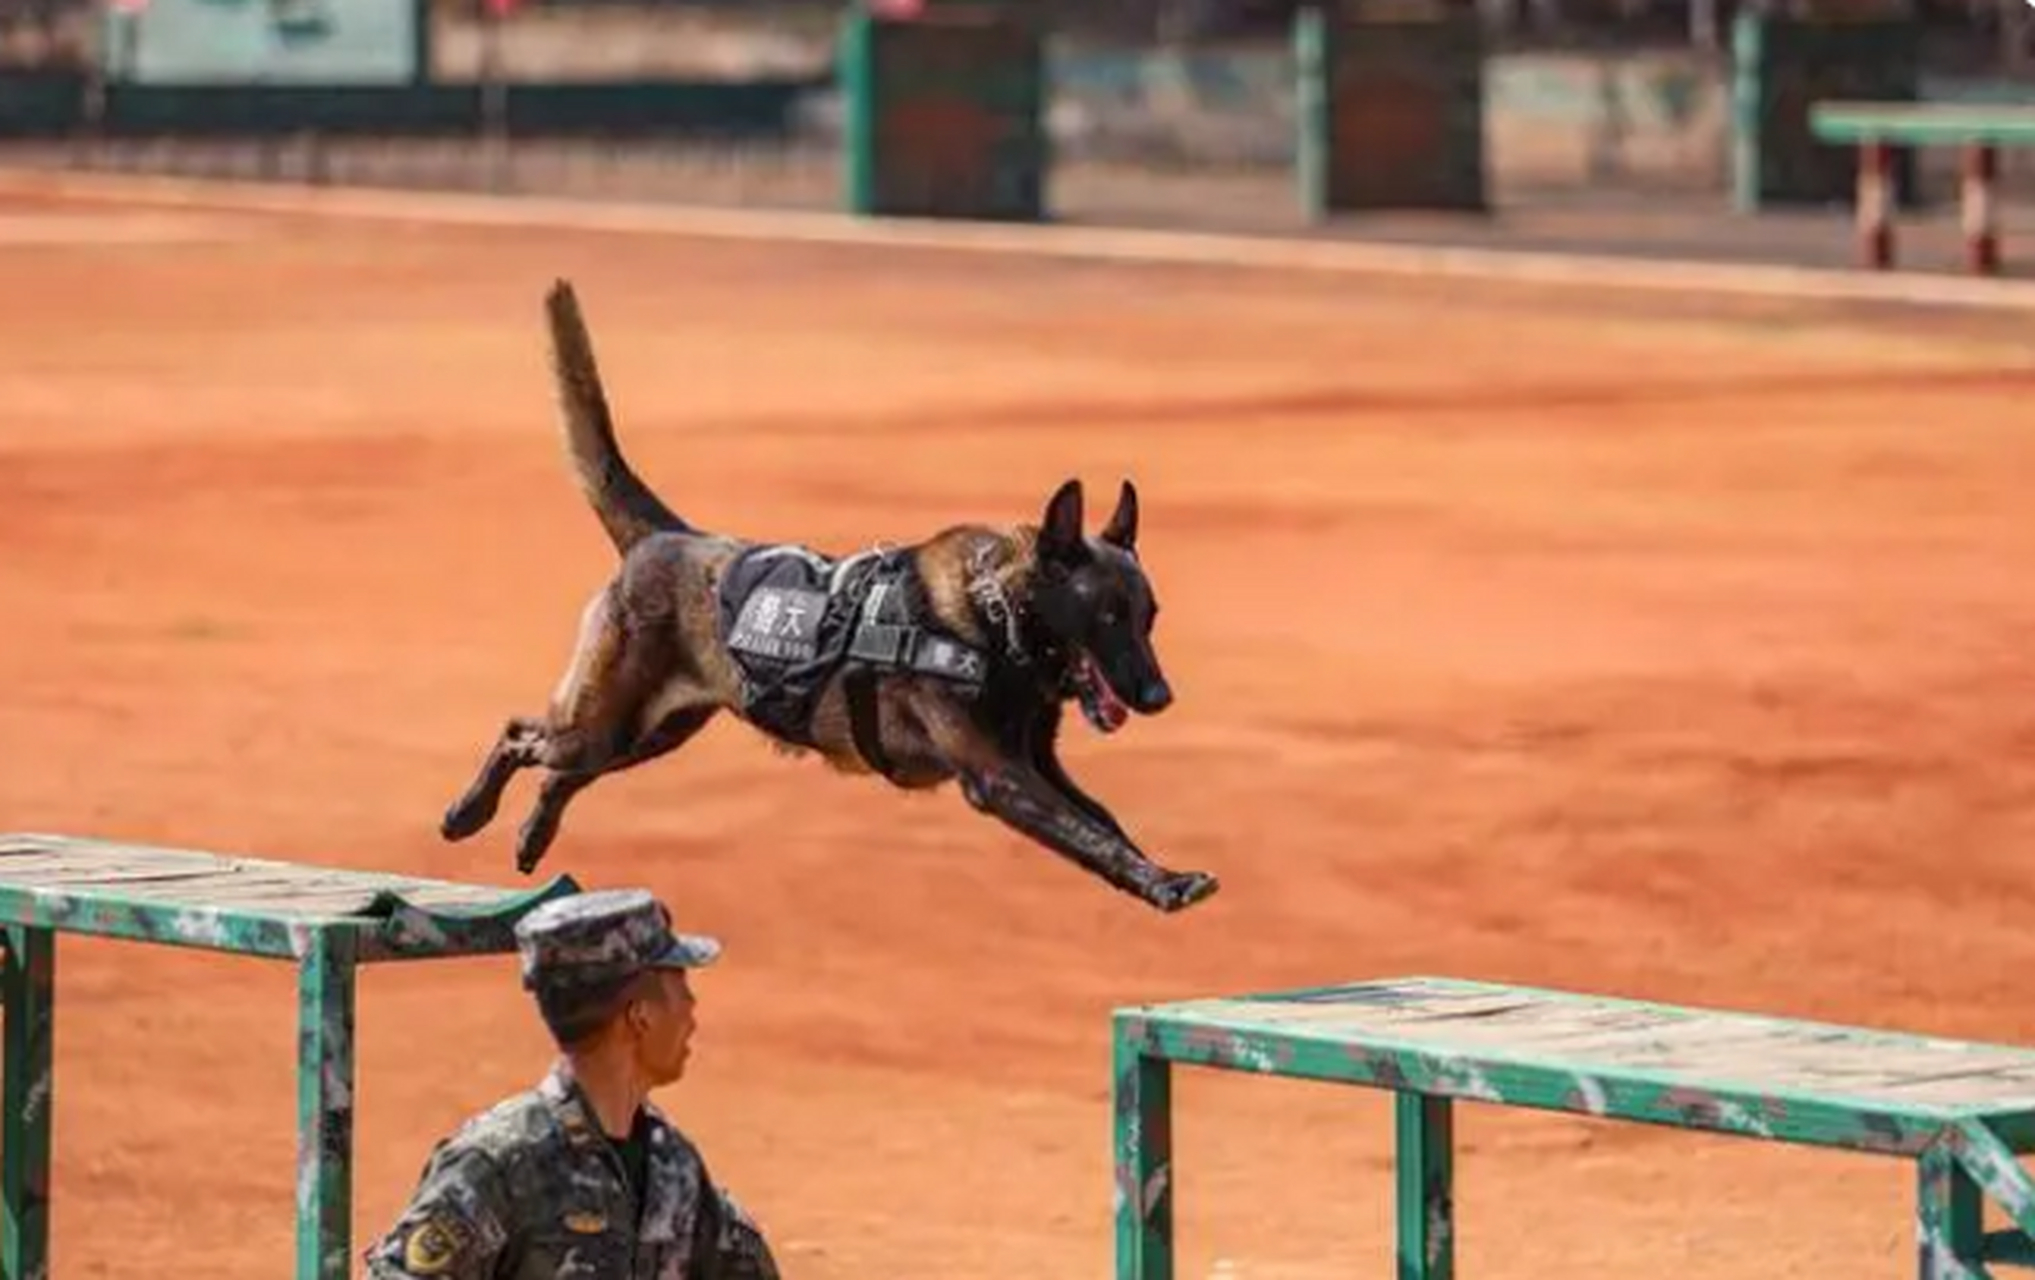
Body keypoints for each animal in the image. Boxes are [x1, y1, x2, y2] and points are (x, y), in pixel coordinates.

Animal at [437, 282, 1212, 911]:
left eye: (1149, 618)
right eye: (1106, 615)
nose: (1159, 696)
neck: (994, 622)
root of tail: (667, 537)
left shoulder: (1040, 766)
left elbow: (1103, 821)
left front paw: (1161, 876)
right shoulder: (1001, 777)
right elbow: (1085, 832)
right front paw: (1162, 885)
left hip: (651, 731)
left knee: (560, 773)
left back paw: (532, 835)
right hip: (607, 722)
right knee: (520, 735)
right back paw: (467, 813)